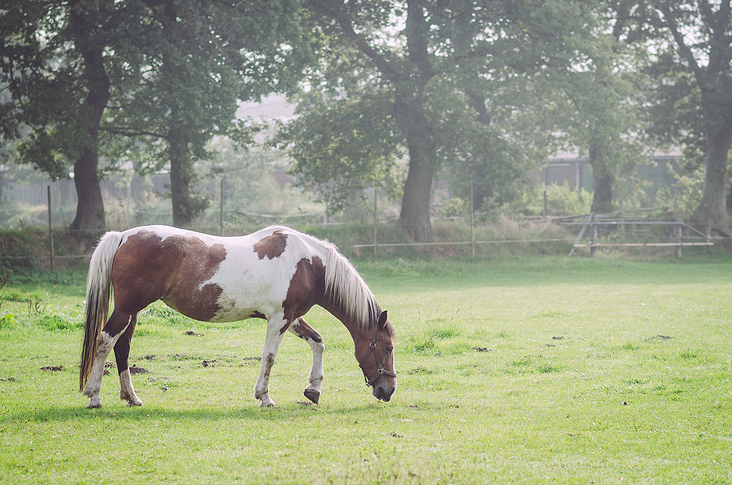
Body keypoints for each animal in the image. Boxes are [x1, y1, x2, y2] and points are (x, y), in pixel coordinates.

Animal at [78, 225, 398, 406]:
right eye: (388, 348)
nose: (388, 390)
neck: (309, 263)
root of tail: (123, 237)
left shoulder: (293, 317)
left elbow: (318, 342)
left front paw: (313, 389)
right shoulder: (279, 319)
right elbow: (270, 357)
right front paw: (264, 397)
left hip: (132, 312)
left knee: (122, 347)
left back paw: (131, 398)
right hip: (126, 309)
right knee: (104, 342)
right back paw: (94, 396)